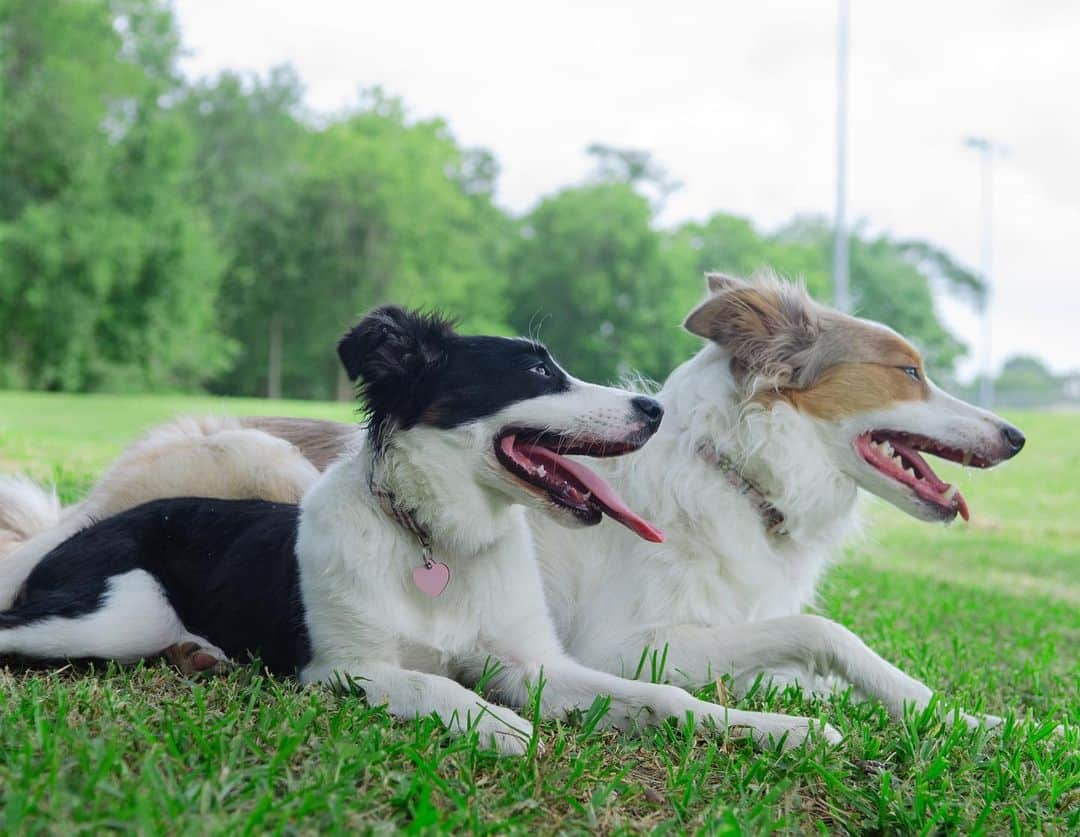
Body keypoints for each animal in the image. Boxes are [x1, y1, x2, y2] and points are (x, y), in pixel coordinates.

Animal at [0, 276, 1028, 734]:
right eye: (907, 370)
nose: (1017, 435)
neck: (736, 471)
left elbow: (823, 671)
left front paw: (984, 723)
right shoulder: (624, 641)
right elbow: (829, 635)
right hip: (252, 471)